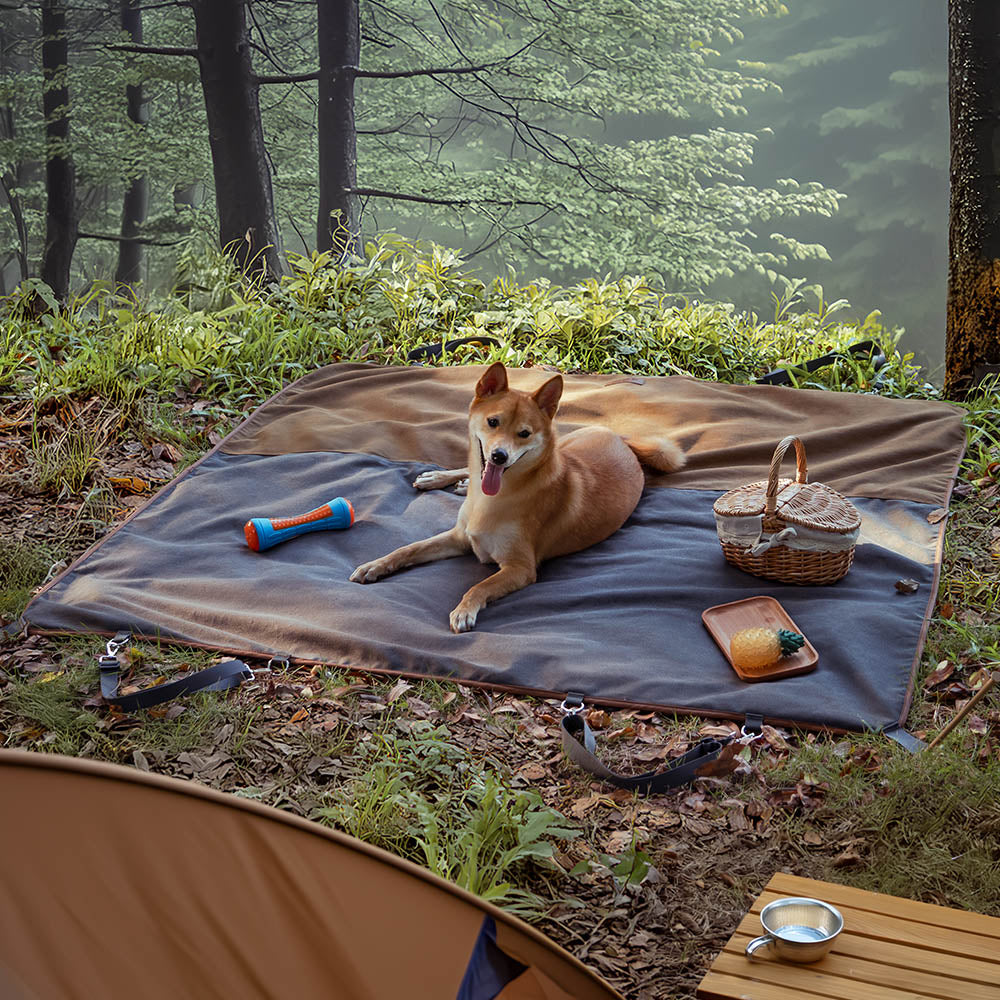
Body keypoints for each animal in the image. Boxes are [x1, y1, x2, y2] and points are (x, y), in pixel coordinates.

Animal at [348, 364, 684, 632]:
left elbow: (479, 585)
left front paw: (465, 610)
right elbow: (408, 549)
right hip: (568, 444)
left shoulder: (519, 568)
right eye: (492, 422)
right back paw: (445, 480)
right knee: (465, 469)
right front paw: (375, 565)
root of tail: (622, 440)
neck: (492, 498)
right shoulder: (458, 538)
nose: (499, 456)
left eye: (524, 433)